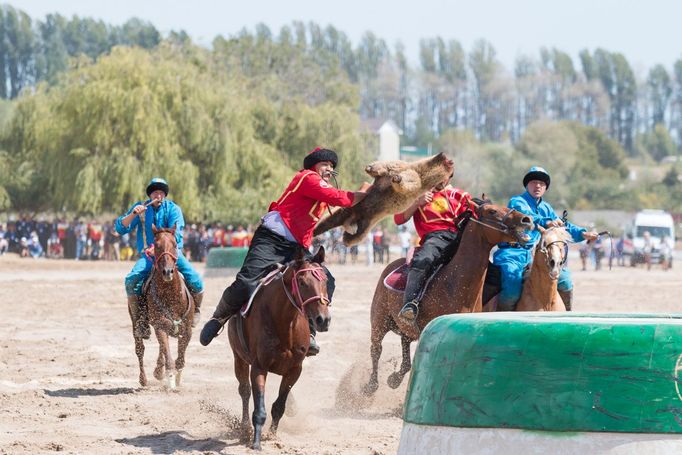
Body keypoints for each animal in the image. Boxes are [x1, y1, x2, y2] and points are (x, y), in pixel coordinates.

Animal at [132, 226, 194, 390]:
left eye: (175, 244)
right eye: (157, 245)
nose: (167, 271)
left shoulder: (187, 330)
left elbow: (180, 359)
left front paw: (176, 379)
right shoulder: (159, 326)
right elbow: (169, 358)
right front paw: (171, 382)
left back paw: (158, 371)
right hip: (137, 324)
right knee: (140, 350)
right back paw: (144, 379)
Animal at [228, 246, 330, 452]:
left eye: (325, 280)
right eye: (302, 282)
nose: (323, 319)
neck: (285, 323)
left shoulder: (294, 370)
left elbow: (279, 406)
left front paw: (272, 436)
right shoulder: (259, 367)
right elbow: (259, 409)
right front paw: (256, 442)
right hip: (239, 358)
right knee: (244, 391)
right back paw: (244, 428)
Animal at [364, 200, 532, 396]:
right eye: (492, 211)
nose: (526, 219)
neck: (454, 282)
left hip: (405, 328)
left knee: (405, 349)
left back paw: (394, 379)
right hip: (379, 321)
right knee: (376, 350)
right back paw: (371, 385)